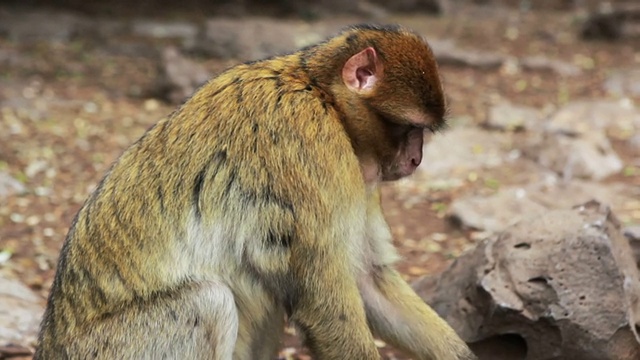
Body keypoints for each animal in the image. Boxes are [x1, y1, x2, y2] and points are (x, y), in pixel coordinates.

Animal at [33, 23, 476, 358]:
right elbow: (323, 298)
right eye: (411, 128)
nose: (416, 159)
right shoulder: (309, 146)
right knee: (208, 301)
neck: (322, 95)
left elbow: (367, 278)